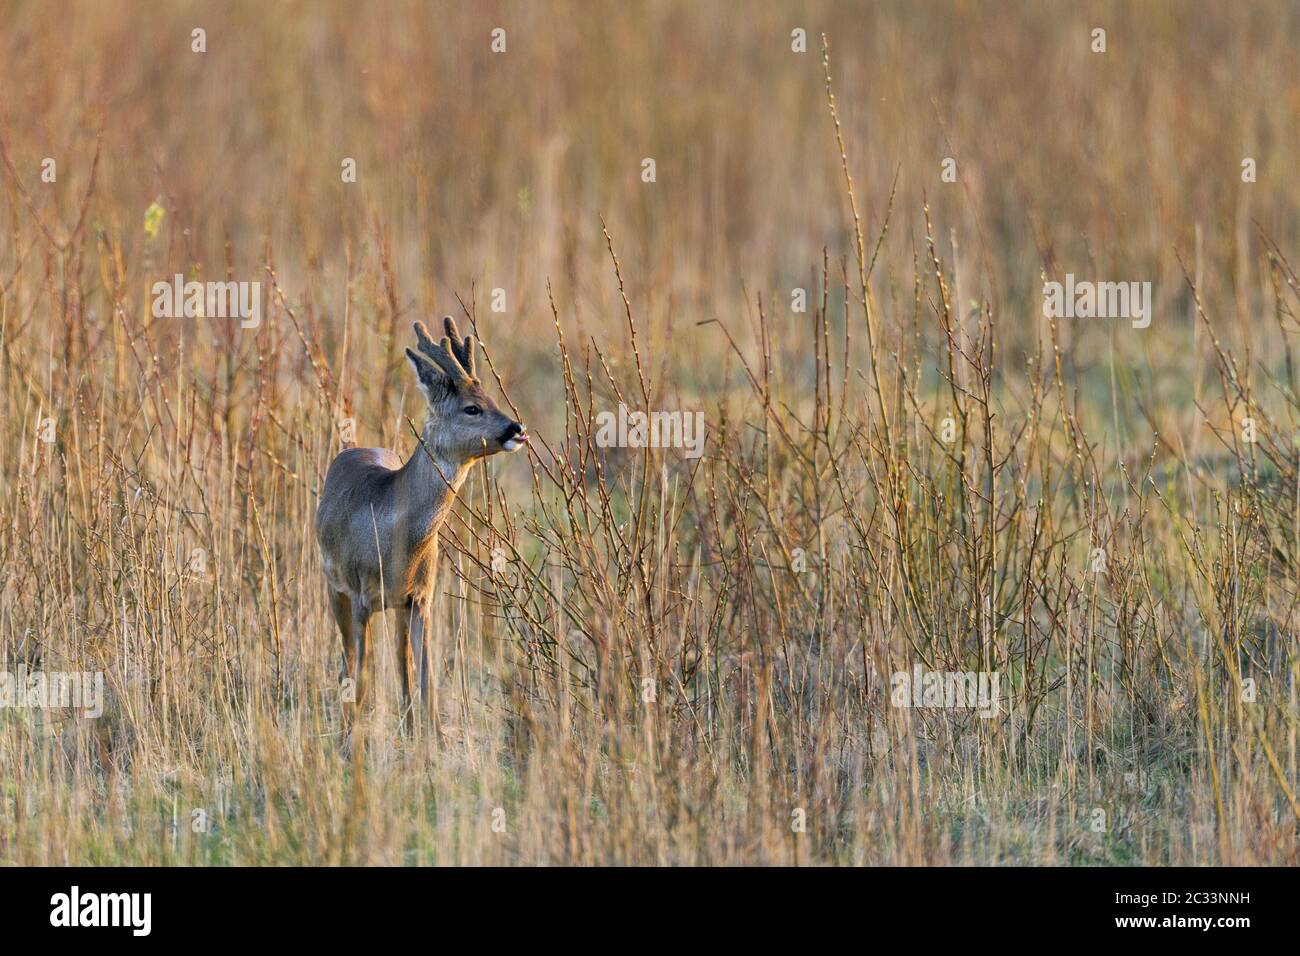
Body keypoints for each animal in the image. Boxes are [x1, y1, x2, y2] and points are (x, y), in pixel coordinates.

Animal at [316, 316, 527, 732]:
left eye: (492, 398)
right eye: (472, 408)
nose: (516, 429)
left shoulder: (421, 598)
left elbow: (425, 681)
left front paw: (432, 739)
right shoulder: (361, 594)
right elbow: (361, 678)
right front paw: (352, 740)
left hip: (397, 606)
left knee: (402, 667)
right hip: (334, 586)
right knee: (348, 664)